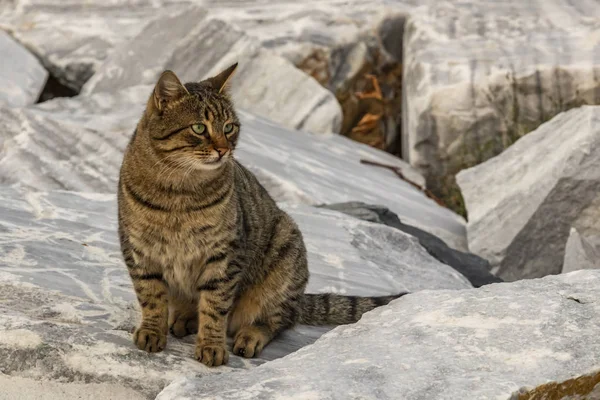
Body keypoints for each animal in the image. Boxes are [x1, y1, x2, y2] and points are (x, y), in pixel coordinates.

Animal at [117, 64, 408, 368]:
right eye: (199, 128)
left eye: (229, 127)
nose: (223, 150)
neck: (179, 190)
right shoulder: (138, 249)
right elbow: (152, 297)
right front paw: (152, 331)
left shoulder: (225, 255)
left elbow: (215, 307)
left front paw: (211, 346)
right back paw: (184, 318)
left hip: (285, 256)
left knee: (277, 321)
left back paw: (248, 336)